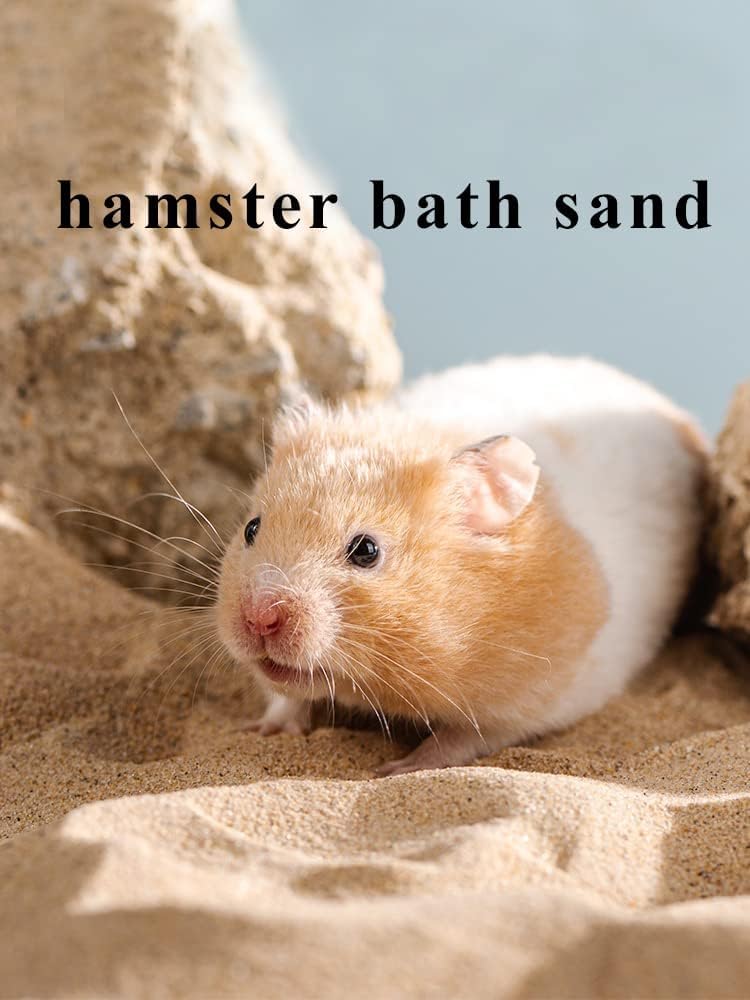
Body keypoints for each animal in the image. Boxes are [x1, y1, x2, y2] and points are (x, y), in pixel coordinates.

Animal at [216, 355, 707, 776]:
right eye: (251, 528)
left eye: (366, 551)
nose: (259, 618)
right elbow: (287, 698)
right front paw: (262, 730)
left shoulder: (532, 699)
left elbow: (463, 737)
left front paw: (396, 769)